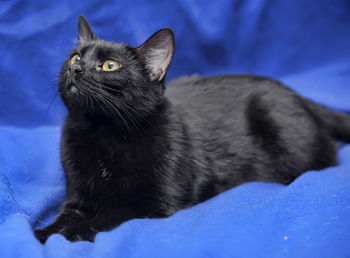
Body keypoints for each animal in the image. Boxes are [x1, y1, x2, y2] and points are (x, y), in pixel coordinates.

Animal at [34, 15, 350, 243]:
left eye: (109, 65)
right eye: (75, 57)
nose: (76, 69)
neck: (103, 134)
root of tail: (298, 95)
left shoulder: (152, 205)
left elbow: (107, 217)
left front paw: (71, 233)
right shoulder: (77, 197)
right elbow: (64, 217)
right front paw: (41, 233)